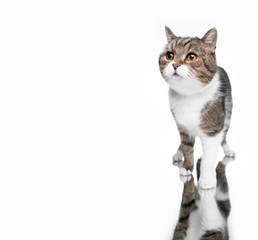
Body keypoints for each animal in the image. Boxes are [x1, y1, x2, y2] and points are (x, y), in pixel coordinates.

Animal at [158, 25, 235, 188]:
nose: (174, 64)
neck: (190, 95)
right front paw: (187, 168)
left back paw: (228, 150)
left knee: (224, 135)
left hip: (227, 114)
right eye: (169, 55)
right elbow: (187, 148)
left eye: (191, 57)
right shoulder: (183, 127)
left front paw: (206, 180)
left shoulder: (213, 129)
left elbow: (208, 158)